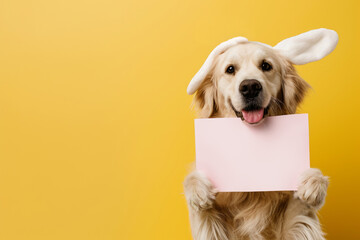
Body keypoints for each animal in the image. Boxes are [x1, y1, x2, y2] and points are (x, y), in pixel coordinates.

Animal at [184, 29, 338, 239]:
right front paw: (197, 190)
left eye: (266, 66)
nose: (250, 87)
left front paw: (314, 182)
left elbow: (299, 210)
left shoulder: (294, 224)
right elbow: (200, 202)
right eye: (230, 69)